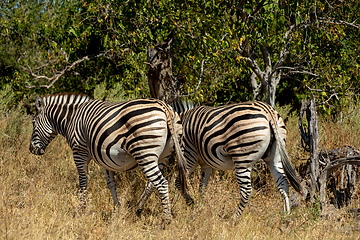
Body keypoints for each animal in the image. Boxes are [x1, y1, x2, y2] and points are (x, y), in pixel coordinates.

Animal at [29, 94, 187, 223]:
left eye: (33, 122)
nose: (32, 149)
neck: (71, 119)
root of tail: (165, 107)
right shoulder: (105, 157)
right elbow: (111, 183)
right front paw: (116, 209)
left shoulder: (79, 152)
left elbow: (83, 181)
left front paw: (81, 209)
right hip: (164, 155)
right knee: (151, 184)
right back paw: (138, 209)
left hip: (144, 152)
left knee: (161, 183)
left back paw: (166, 221)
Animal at [169, 99, 304, 218]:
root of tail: (268, 111)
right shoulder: (206, 164)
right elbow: (202, 186)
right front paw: (200, 208)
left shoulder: (188, 154)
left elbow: (179, 182)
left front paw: (189, 204)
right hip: (275, 155)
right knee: (283, 183)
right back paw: (285, 216)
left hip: (243, 157)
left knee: (246, 190)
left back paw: (234, 218)